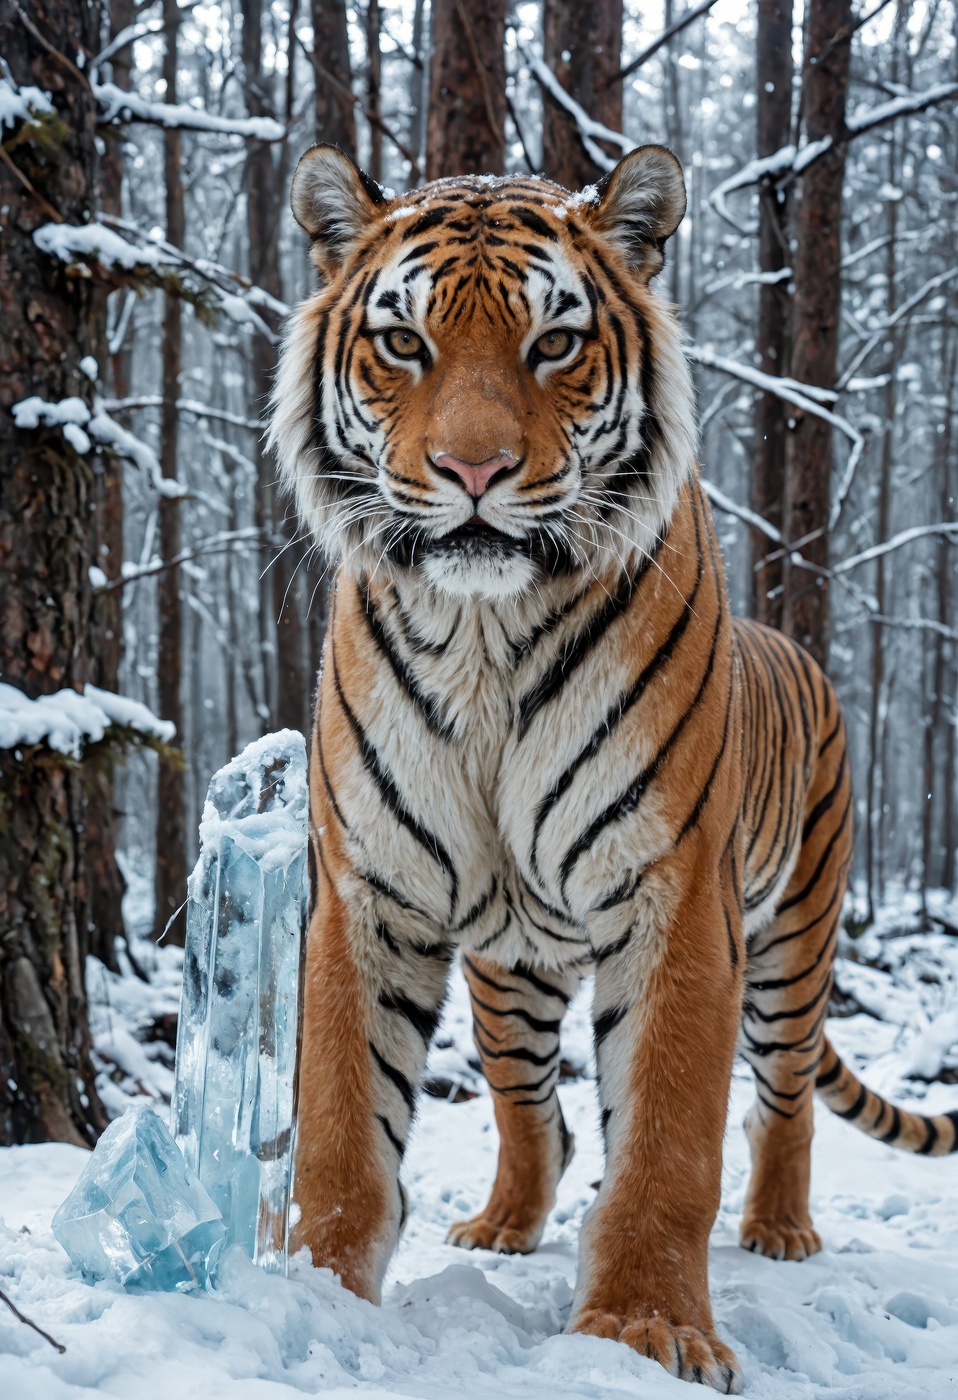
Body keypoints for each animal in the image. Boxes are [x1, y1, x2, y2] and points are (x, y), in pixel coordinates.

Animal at [268, 141, 958, 1392]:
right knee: (529, 1107)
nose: (475, 468)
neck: (484, 637)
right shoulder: (367, 889)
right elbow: (342, 1121)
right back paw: (507, 1220)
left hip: (795, 942)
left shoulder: (677, 898)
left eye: (554, 342)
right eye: (404, 342)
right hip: (510, 970)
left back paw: (780, 1227)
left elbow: (667, 1139)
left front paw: (645, 1326)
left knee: (781, 1100)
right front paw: (316, 1295)